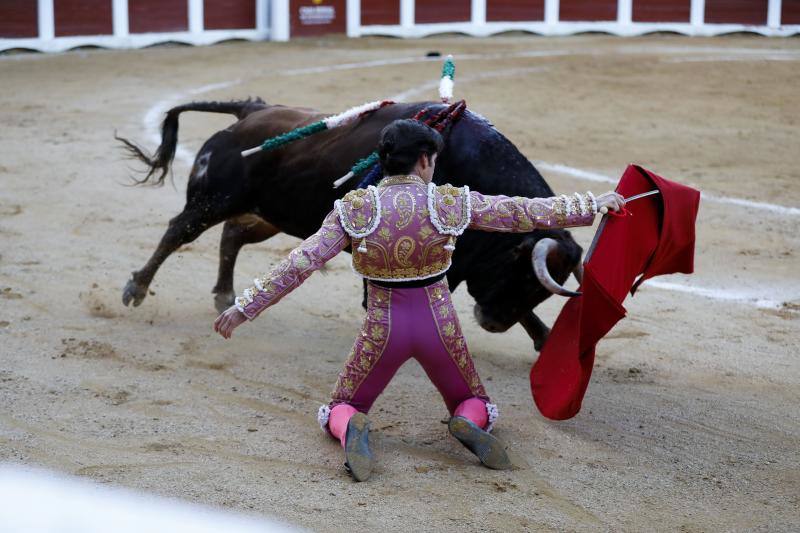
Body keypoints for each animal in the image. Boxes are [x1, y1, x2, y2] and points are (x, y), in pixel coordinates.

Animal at [115, 98, 584, 350]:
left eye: (541, 289)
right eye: (520, 275)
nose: (493, 324)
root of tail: (252, 110)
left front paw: (544, 339)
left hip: (271, 214)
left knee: (232, 236)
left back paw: (224, 296)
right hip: (213, 199)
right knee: (178, 230)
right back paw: (136, 287)